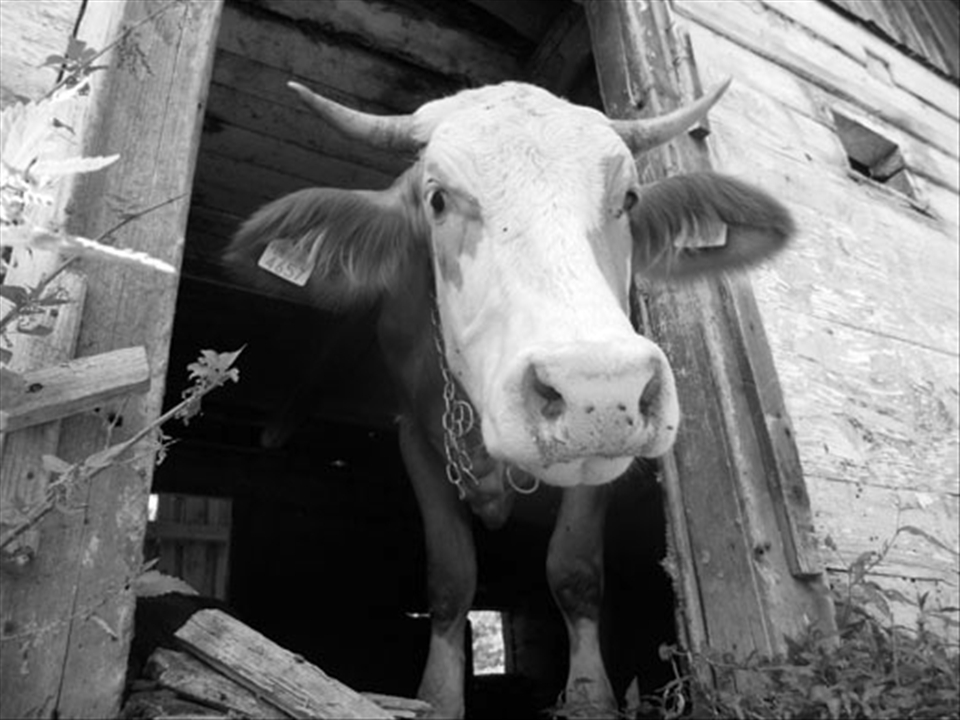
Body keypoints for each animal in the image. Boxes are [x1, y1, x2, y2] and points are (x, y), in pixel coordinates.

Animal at [225, 79, 794, 718]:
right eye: (437, 200)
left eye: (628, 198)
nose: (599, 388)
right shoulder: (414, 435)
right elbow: (450, 579)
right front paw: (439, 697)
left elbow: (573, 570)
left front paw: (590, 699)